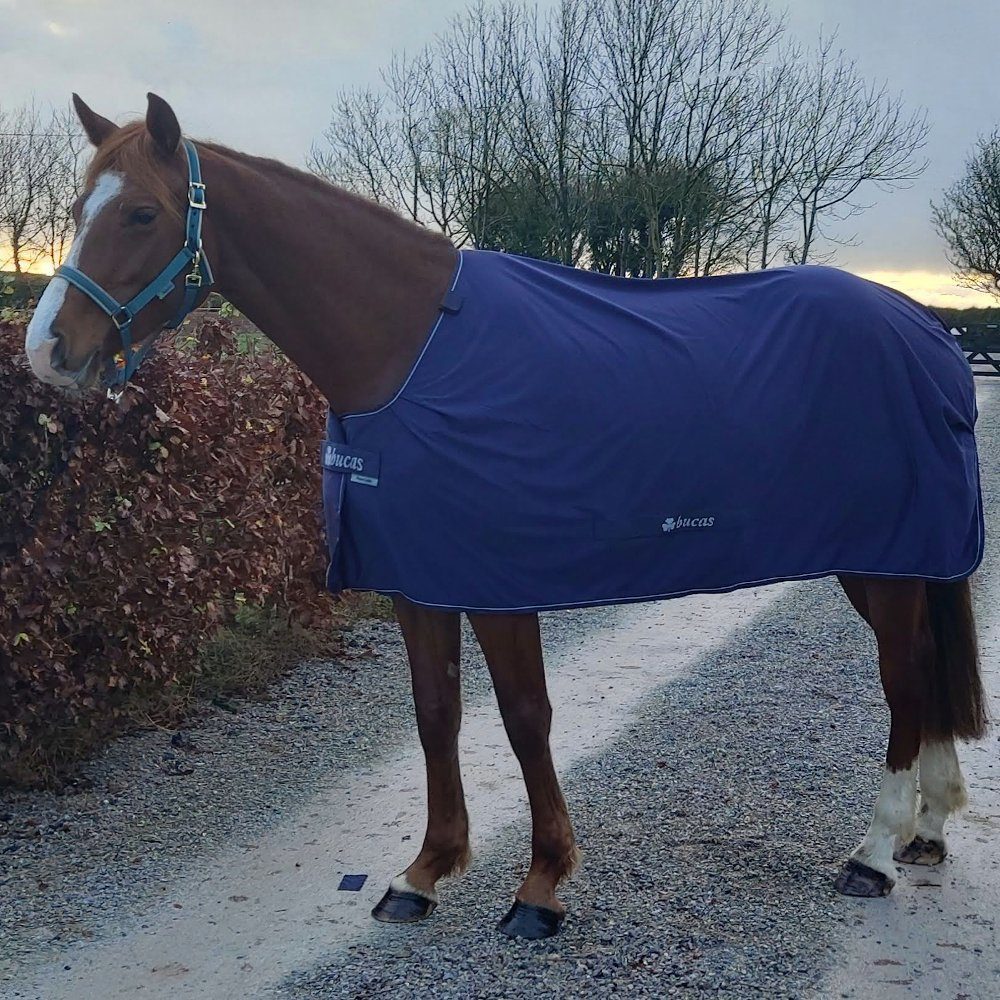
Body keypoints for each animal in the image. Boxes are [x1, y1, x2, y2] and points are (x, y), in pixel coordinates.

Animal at [24, 94, 988, 940]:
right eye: (76, 208)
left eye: (141, 214)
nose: (46, 351)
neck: (412, 348)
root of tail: (926, 328)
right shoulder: (417, 577)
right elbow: (436, 713)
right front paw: (423, 873)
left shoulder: (499, 581)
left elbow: (525, 717)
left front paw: (541, 886)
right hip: (889, 557)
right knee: (926, 666)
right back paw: (928, 828)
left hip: (886, 559)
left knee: (905, 678)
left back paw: (873, 852)